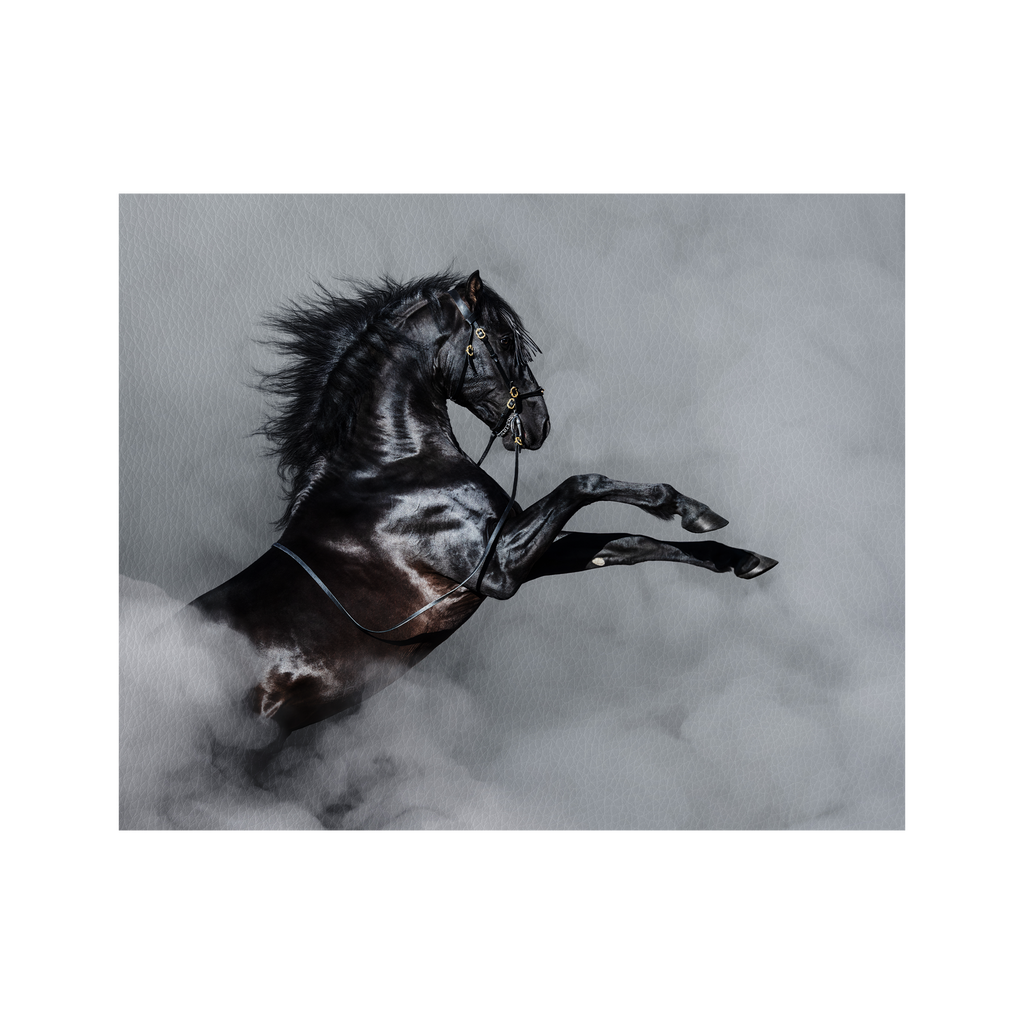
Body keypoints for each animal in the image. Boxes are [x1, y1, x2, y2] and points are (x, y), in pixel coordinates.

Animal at [192, 272, 774, 737]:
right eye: (504, 338)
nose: (538, 424)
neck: (391, 470)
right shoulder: (497, 569)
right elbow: (585, 484)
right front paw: (686, 508)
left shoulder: (520, 548)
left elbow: (628, 544)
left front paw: (739, 555)